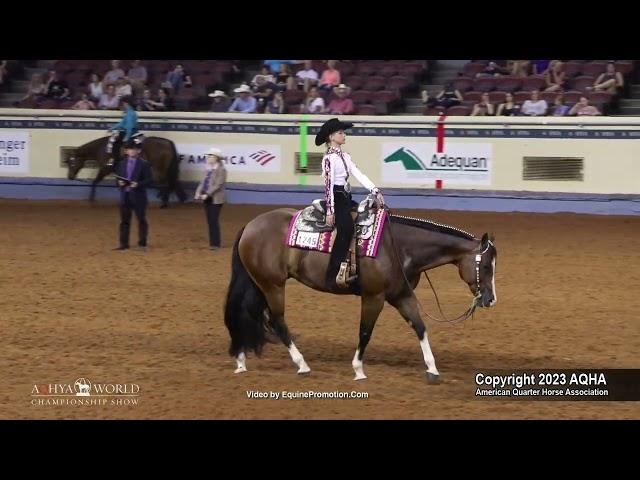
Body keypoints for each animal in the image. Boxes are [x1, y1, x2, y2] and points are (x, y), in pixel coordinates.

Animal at [222, 201, 498, 384]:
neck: (397, 246)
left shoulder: (400, 295)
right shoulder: (373, 296)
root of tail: (250, 226)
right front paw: (358, 370)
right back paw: (301, 364)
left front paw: (432, 370)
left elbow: (420, 327)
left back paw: (242, 360)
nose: (490, 299)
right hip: (273, 285)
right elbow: (365, 331)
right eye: (485, 266)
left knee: (250, 316)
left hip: (260, 284)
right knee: (277, 321)